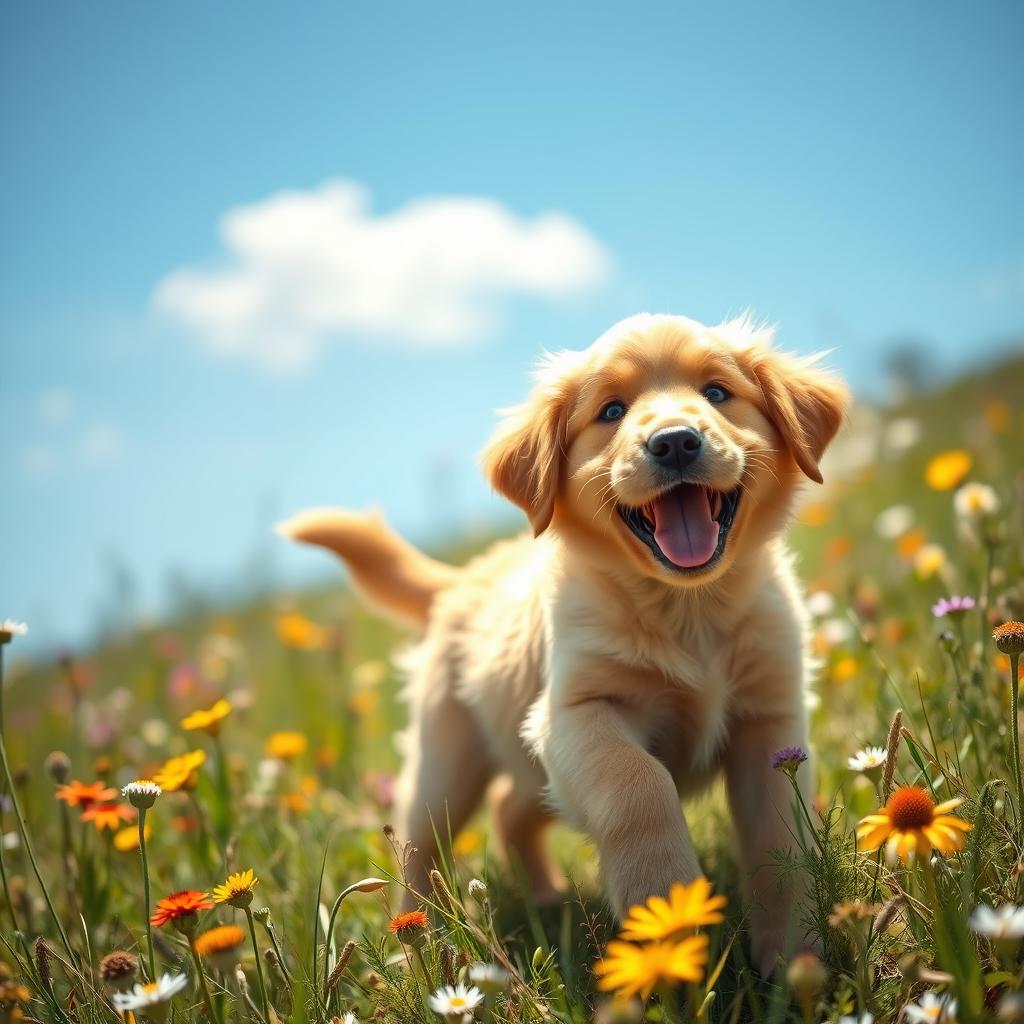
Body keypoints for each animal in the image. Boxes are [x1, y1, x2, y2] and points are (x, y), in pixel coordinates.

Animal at [278, 313, 847, 974]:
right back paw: (420, 943)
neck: (688, 609)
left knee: (509, 809)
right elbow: (639, 785)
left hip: (527, 769)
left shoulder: (770, 722)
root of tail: (465, 577)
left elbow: (782, 839)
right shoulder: (572, 713)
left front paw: (794, 960)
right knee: (419, 846)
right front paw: (664, 911)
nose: (675, 442)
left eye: (717, 393)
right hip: (447, 760)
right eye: (612, 411)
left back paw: (547, 899)